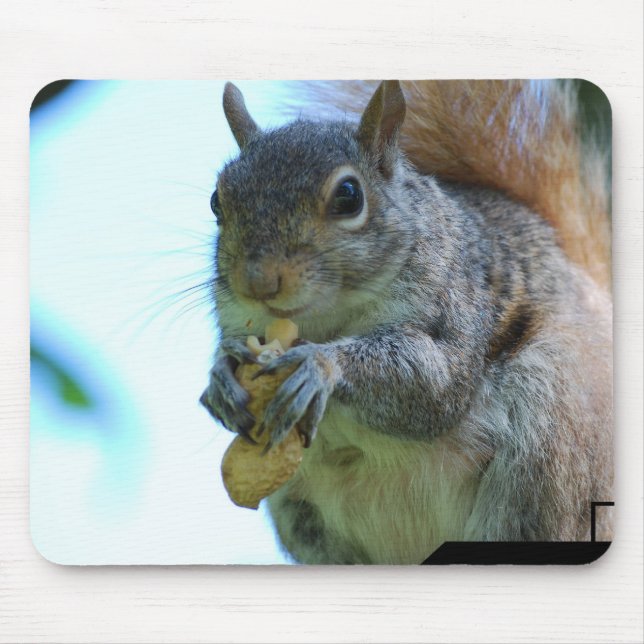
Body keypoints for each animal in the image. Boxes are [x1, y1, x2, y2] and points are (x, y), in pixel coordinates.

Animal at [200, 80, 613, 564]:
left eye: (349, 196)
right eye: (216, 200)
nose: (258, 282)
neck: (328, 319)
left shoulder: (457, 310)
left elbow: (434, 385)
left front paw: (319, 365)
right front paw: (221, 375)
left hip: (550, 442)